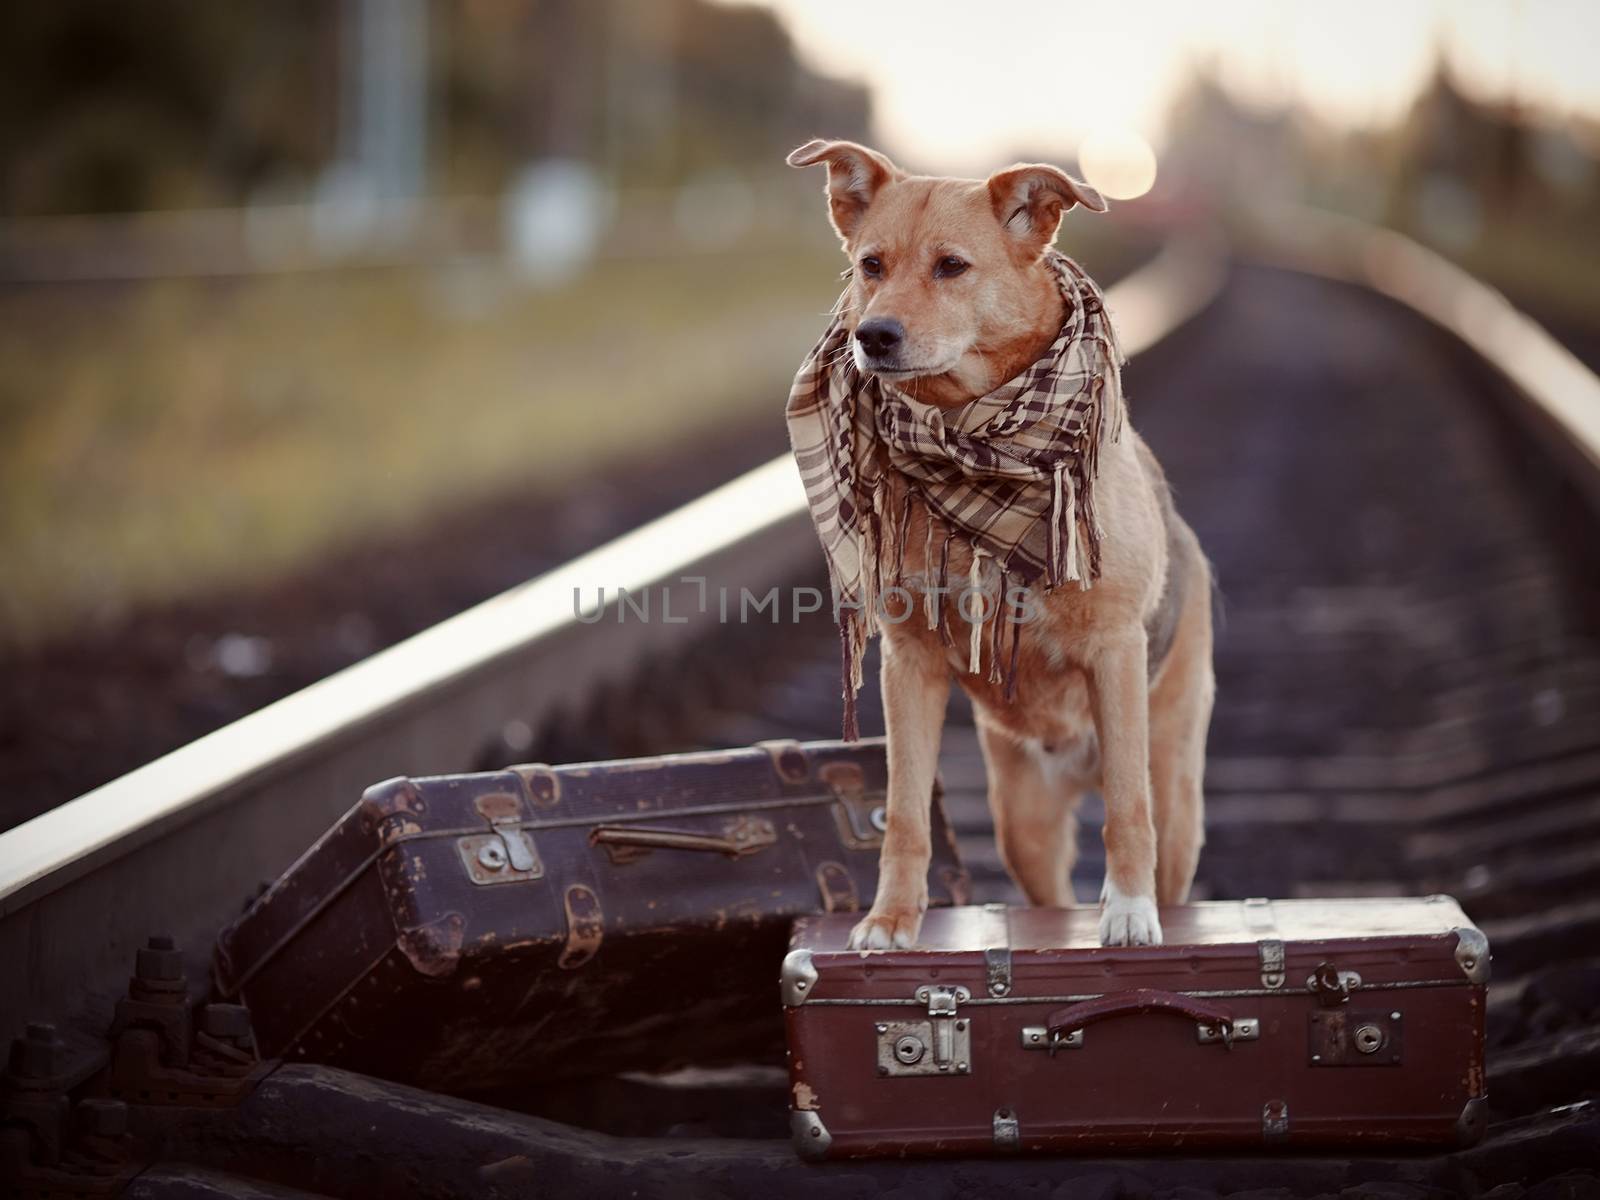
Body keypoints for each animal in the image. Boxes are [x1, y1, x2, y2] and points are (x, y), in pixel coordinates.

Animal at [787, 138, 1209, 947]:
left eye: (952, 266)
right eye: (871, 265)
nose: (872, 336)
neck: (972, 441)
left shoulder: (1115, 650)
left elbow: (1126, 809)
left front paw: (1129, 912)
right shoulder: (909, 663)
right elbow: (906, 814)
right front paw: (891, 920)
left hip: (1176, 789)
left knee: (1156, 831)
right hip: (1022, 821)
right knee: (1046, 887)